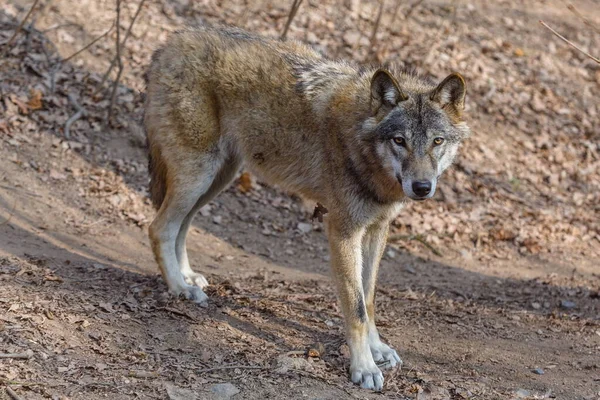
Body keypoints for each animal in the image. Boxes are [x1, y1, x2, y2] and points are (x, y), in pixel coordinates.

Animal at [144, 25, 468, 390]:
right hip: (198, 177)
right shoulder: (342, 231)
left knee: (181, 227)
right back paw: (179, 288)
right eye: (400, 141)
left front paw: (378, 350)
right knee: (159, 228)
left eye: (437, 142)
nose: (422, 187)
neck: (361, 144)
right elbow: (355, 307)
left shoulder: (376, 230)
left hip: (216, 180)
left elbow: (369, 298)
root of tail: (170, 43)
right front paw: (364, 367)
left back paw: (188, 277)